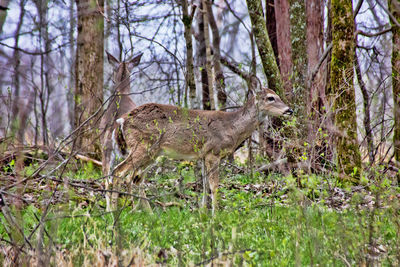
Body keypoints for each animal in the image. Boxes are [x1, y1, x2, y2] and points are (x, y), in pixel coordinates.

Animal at [108, 77, 292, 214]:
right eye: (270, 98)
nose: (289, 110)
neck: (231, 127)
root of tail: (122, 120)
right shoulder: (213, 153)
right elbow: (214, 185)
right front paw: (216, 215)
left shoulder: (203, 156)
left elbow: (204, 186)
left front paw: (203, 213)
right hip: (142, 146)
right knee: (118, 172)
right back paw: (115, 212)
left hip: (152, 153)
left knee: (133, 179)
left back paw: (141, 212)